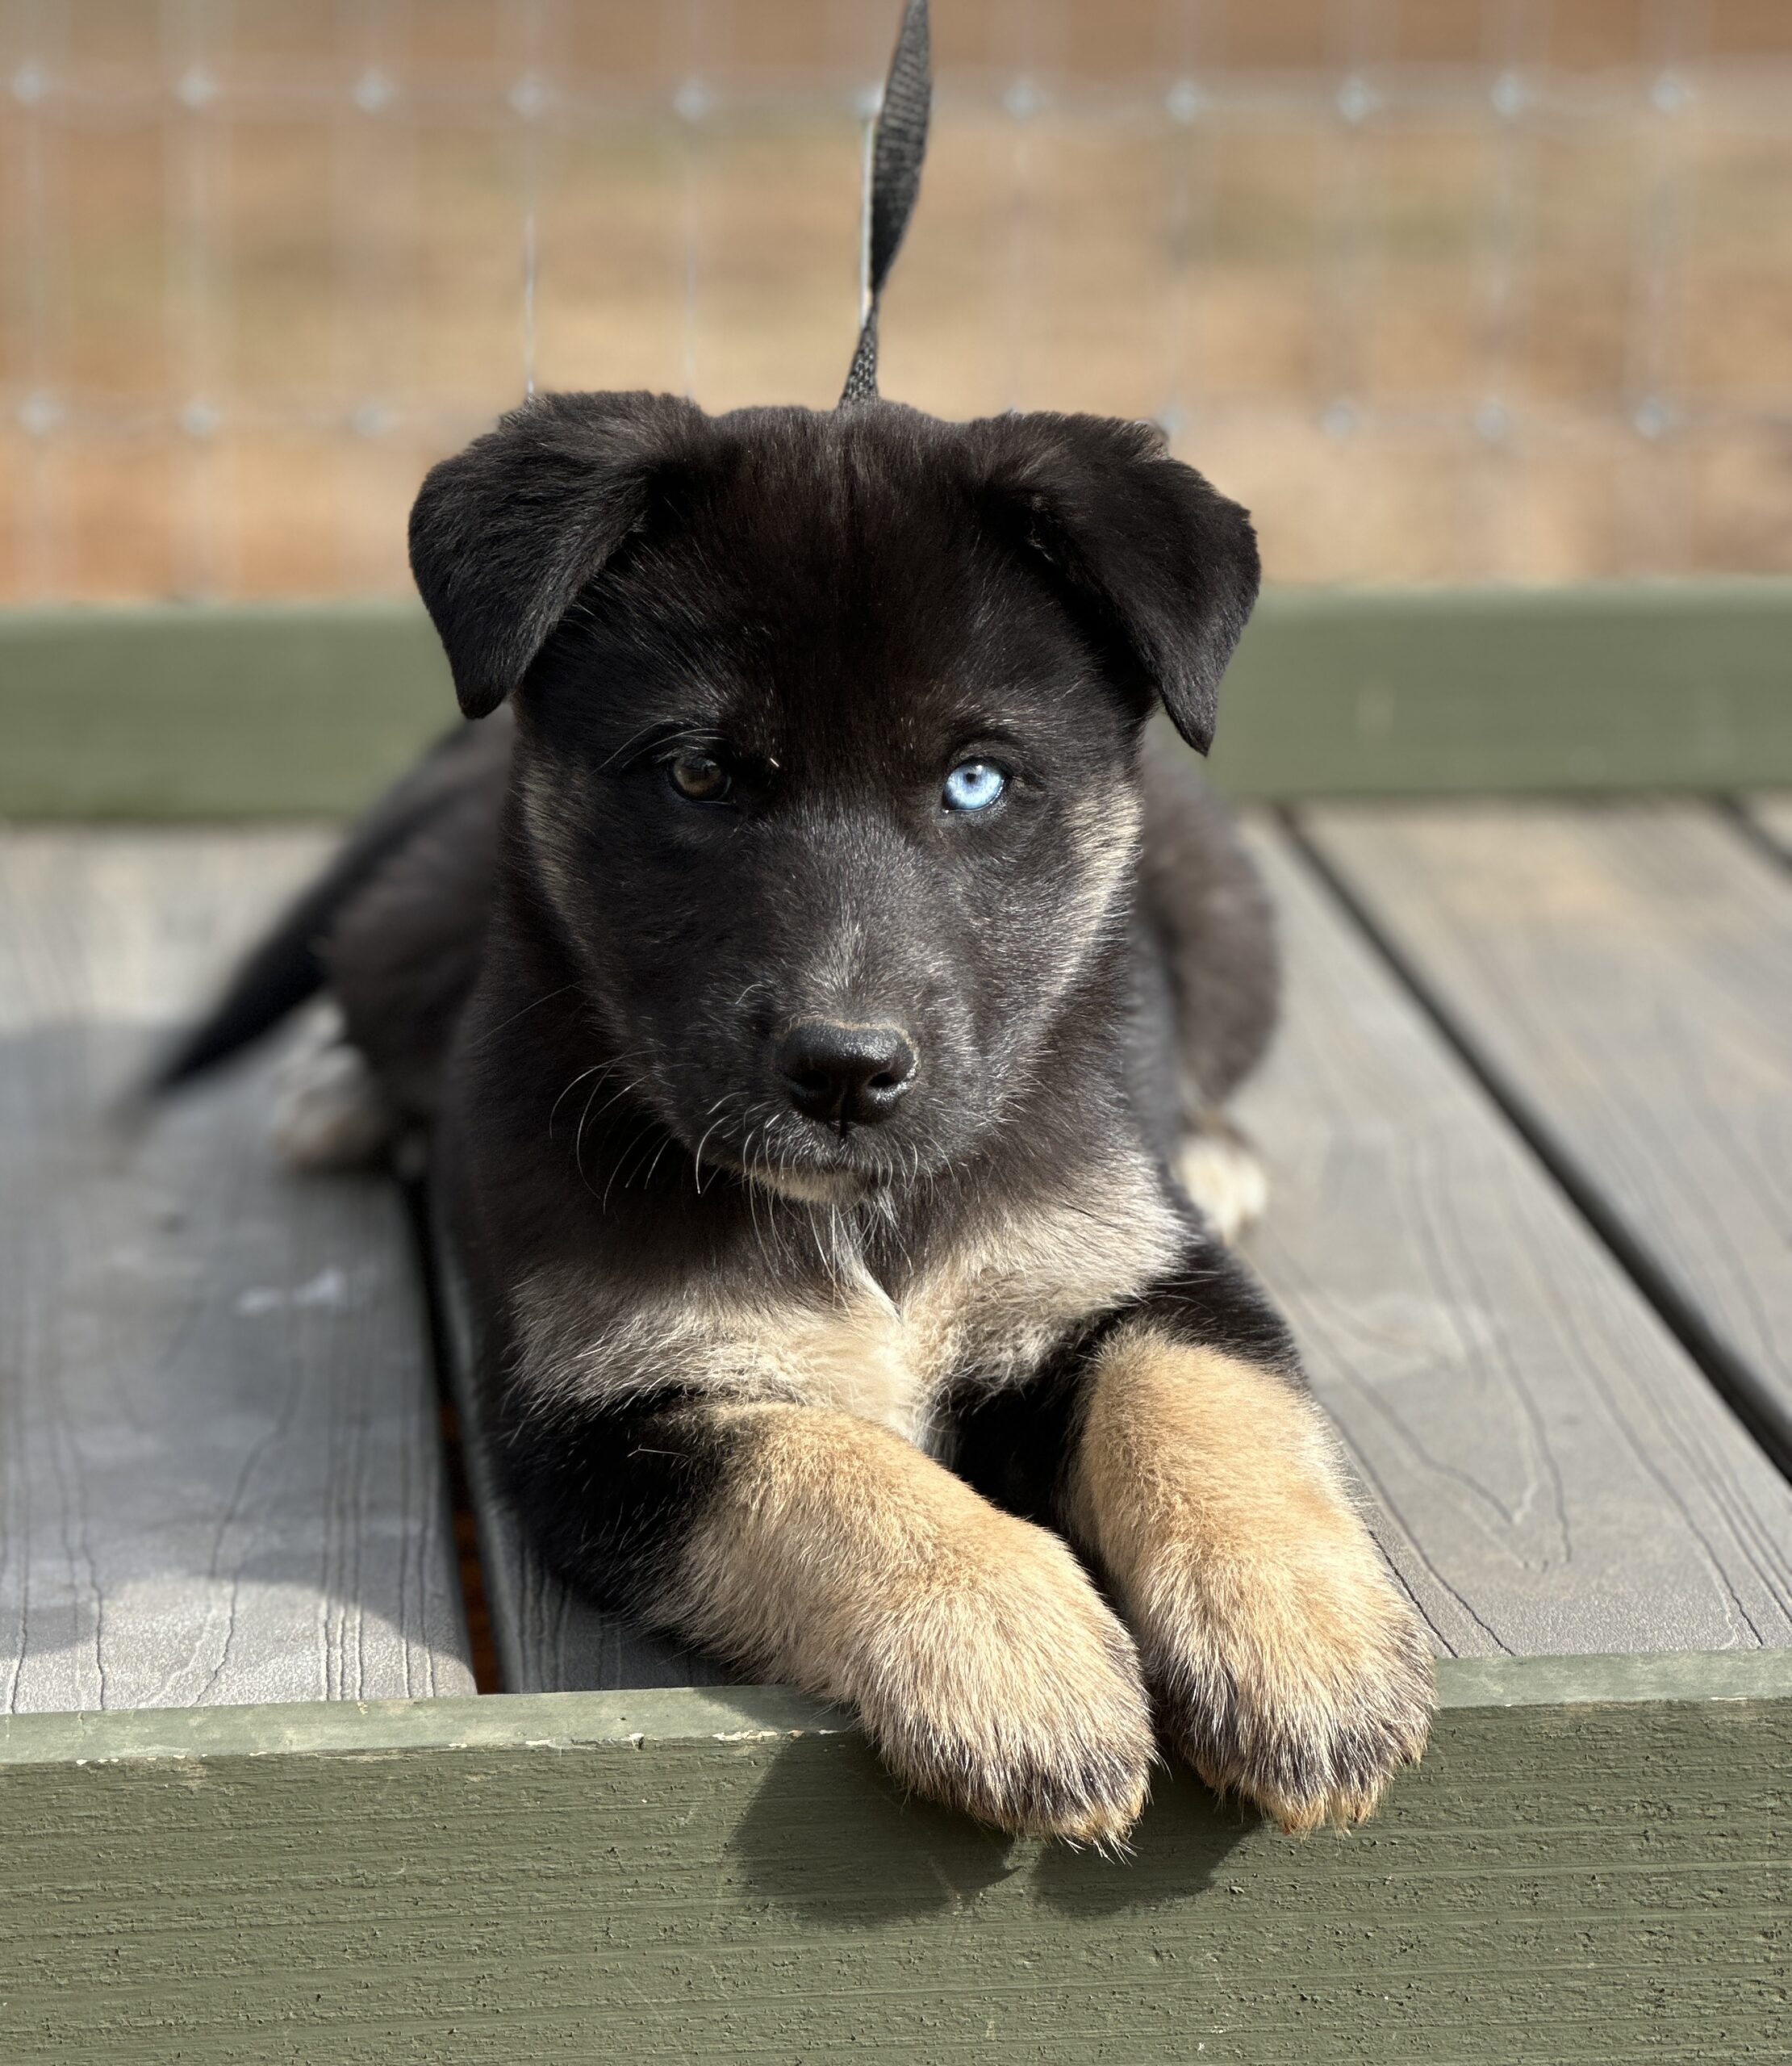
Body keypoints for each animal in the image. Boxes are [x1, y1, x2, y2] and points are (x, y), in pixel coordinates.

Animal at [162, 391, 1433, 1843]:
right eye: (701, 776)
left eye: (978, 783)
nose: (844, 1072)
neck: (862, 1221)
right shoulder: (601, 1423)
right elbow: (825, 1466)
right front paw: (1015, 1656)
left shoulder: (1130, 1267)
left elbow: (1199, 1397)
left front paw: (1301, 1642)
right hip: (403, 931)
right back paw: (344, 1095)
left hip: (1228, 925)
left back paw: (1214, 1147)